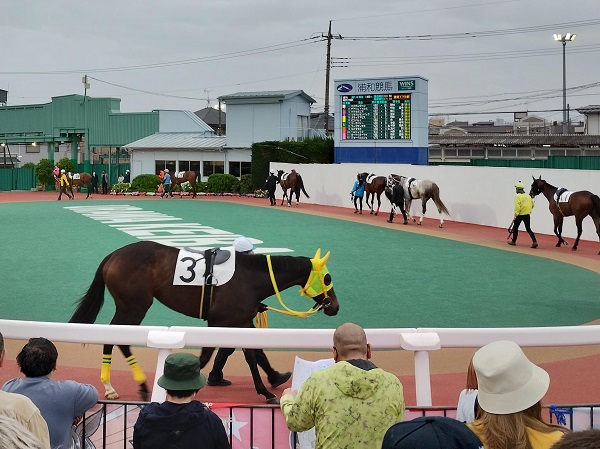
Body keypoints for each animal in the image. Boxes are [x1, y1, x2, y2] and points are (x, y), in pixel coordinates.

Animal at [68, 242, 340, 402]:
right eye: (327, 278)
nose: (335, 307)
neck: (250, 278)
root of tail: (112, 256)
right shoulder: (218, 321)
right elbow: (208, 356)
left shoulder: (240, 322)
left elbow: (252, 354)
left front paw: (268, 385)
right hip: (134, 306)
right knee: (118, 339)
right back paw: (132, 387)